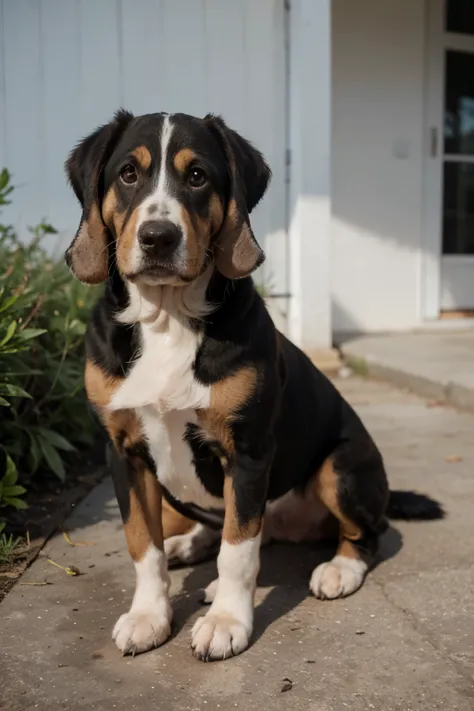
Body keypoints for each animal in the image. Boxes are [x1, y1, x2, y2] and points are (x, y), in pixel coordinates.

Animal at [64, 111, 444, 660]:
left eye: (197, 176)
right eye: (128, 174)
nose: (158, 237)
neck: (168, 317)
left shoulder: (246, 452)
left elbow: (238, 552)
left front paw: (227, 621)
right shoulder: (124, 453)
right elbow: (143, 543)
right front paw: (149, 615)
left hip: (341, 466)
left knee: (364, 531)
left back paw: (338, 569)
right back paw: (187, 545)